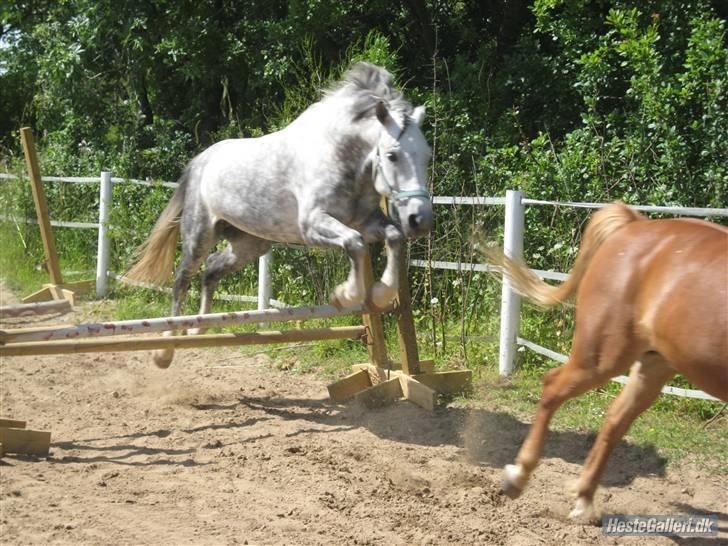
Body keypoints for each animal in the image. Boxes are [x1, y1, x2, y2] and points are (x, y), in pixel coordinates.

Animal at [125, 63, 432, 368]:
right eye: (392, 156)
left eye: (427, 156)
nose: (420, 220)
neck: (340, 154)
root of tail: (200, 161)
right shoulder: (314, 225)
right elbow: (355, 244)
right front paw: (345, 295)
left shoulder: (366, 222)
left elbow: (393, 236)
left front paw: (380, 293)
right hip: (199, 234)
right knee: (182, 279)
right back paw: (166, 348)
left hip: (250, 243)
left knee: (211, 269)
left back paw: (199, 327)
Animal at [486, 203, 724, 524]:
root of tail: (634, 224)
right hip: (603, 356)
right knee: (554, 387)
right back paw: (518, 477)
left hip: (653, 364)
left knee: (615, 420)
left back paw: (583, 501)